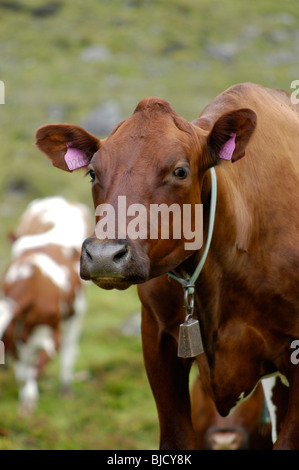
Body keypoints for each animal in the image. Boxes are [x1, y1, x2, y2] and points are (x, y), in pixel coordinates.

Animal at [0, 196, 92, 414]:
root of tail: (61, 200)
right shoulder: (16, 340)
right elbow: (23, 373)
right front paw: (26, 401)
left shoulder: (53, 333)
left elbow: (35, 368)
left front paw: (29, 402)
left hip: (77, 311)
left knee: (69, 350)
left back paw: (65, 388)